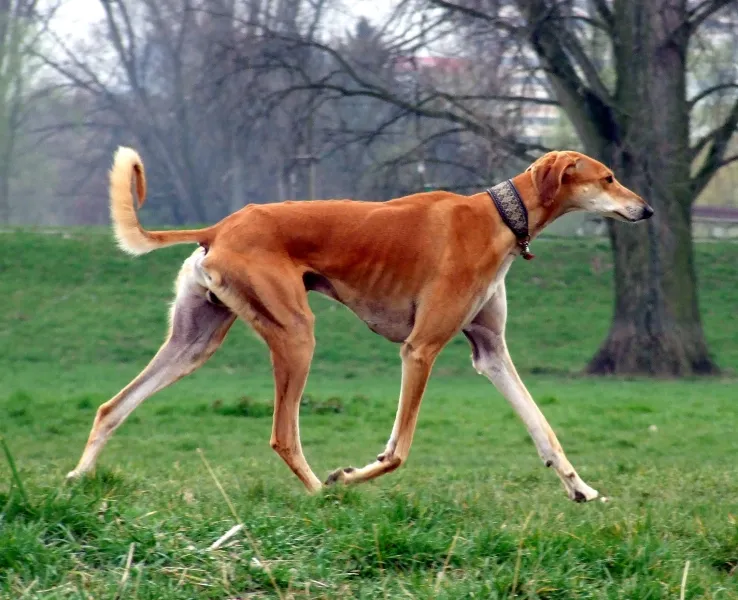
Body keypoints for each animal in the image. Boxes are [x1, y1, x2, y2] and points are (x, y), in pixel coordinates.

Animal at [63, 150, 648, 502]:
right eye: (609, 177)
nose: (647, 209)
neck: (497, 216)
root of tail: (220, 227)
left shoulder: (491, 353)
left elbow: (542, 427)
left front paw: (581, 488)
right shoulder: (420, 349)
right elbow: (397, 451)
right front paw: (348, 475)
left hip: (194, 341)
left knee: (112, 407)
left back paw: (77, 477)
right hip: (296, 333)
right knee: (283, 435)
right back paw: (323, 493)